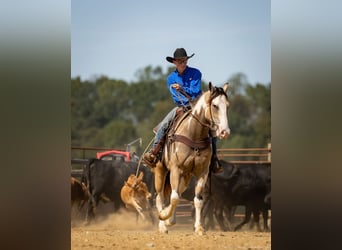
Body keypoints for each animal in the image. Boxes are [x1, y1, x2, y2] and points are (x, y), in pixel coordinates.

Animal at [154, 82, 230, 234]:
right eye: (215, 105)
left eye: (227, 105)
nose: (225, 132)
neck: (194, 134)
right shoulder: (176, 169)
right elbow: (174, 198)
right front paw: (165, 216)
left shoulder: (202, 172)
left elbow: (198, 200)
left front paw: (199, 228)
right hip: (161, 170)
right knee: (160, 197)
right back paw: (163, 224)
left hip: (186, 177)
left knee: (174, 193)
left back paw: (170, 220)